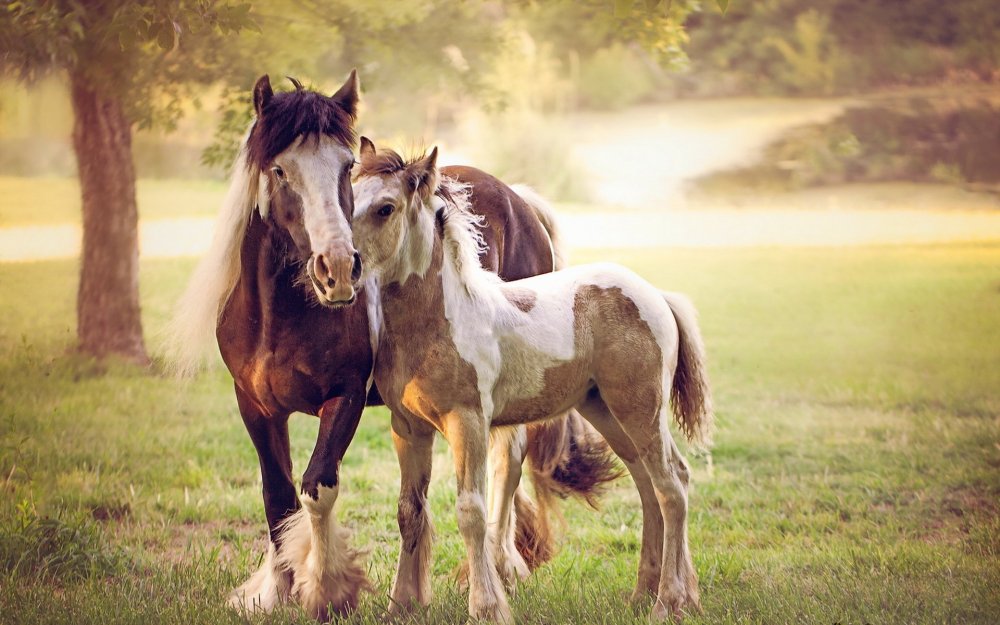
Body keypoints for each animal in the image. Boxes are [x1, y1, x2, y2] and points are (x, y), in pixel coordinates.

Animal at [169, 75, 620, 616]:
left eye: (345, 166)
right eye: (278, 169)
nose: (337, 269)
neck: (285, 315)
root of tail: (521, 201)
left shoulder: (344, 398)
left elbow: (317, 487)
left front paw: (328, 591)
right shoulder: (255, 406)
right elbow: (277, 498)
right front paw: (274, 591)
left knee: (507, 461)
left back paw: (500, 566)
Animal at [352, 144, 712, 620]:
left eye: (385, 208)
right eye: (347, 194)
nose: (333, 265)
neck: (442, 319)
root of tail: (656, 295)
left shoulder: (468, 422)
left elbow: (470, 511)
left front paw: (487, 608)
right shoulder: (408, 427)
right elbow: (410, 511)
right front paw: (400, 607)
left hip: (641, 408)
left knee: (671, 486)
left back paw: (668, 602)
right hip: (606, 409)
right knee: (652, 483)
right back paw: (649, 594)